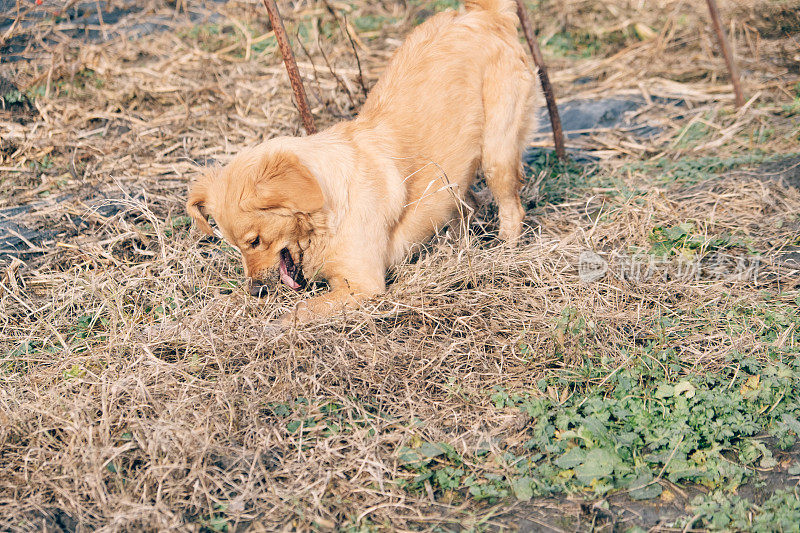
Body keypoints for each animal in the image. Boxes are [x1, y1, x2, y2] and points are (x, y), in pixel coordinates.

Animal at [188, 0, 536, 322]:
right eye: (235, 245)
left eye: (255, 241)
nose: (256, 290)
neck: (327, 213)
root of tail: (480, 13)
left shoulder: (362, 284)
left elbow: (298, 311)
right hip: (452, 178)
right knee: (468, 206)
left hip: (497, 153)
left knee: (512, 209)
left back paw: (505, 253)